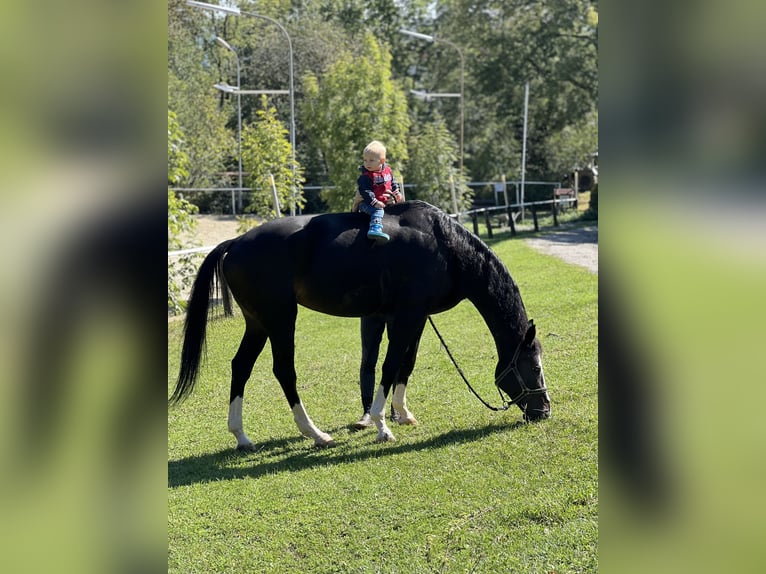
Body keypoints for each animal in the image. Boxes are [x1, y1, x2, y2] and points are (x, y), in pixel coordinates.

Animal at [171, 202, 548, 450]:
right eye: (533, 367)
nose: (543, 411)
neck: (444, 245)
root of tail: (235, 244)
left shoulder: (415, 318)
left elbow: (406, 365)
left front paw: (402, 414)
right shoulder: (407, 316)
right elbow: (389, 366)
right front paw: (382, 426)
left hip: (258, 323)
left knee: (241, 367)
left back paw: (242, 436)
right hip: (280, 319)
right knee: (284, 371)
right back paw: (315, 434)